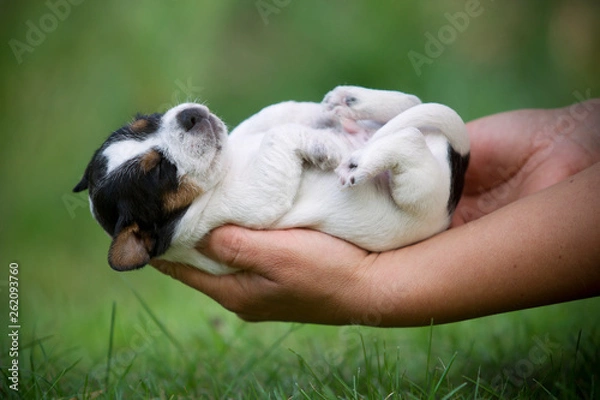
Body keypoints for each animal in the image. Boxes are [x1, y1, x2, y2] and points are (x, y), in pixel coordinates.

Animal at [74, 86, 468, 276]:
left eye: (148, 121)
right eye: (159, 170)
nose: (190, 115)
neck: (228, 166)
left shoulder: (249, 129)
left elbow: (276, 114)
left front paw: (320, 114)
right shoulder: (254, 199)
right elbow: (280, 135)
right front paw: (322, 145)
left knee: (411, 102)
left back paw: (351, 100)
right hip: (421, 188)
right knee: (409, 139)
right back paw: (358, 159)